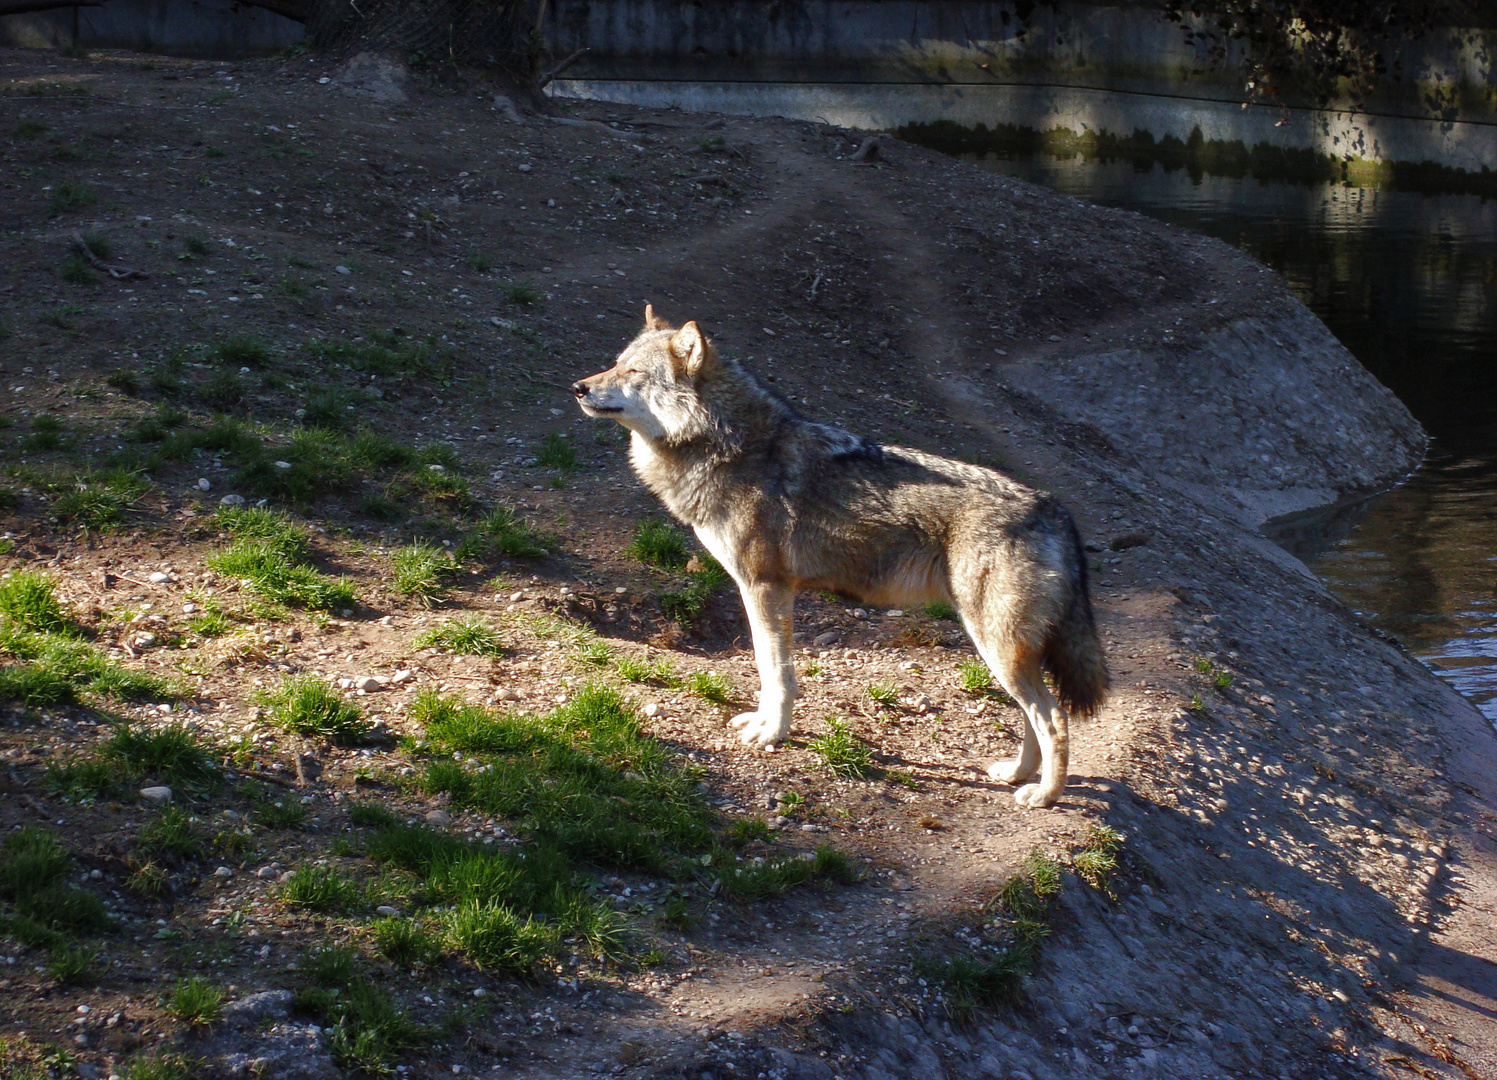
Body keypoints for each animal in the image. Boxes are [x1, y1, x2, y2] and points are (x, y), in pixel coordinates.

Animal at [574, 307, 1113, 802]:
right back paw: (1016, 774)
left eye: (633, 372)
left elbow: (777, 673)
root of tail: (1054, 508)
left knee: (1054, 717)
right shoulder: (766, 591)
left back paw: (1045, 795)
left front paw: (772, 734)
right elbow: (768, 670)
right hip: (1002, 649)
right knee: (1033, 714)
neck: (728, 442)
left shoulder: (765, 588)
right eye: (615, 363)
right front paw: (764, 725)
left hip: (997, 646)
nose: (578, 387)